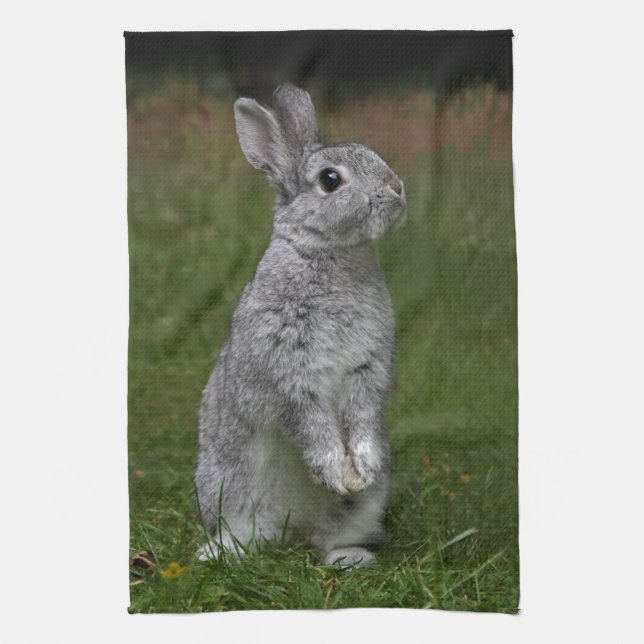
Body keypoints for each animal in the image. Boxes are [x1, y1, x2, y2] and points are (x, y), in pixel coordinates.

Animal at [195, 83, 406, 567]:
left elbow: (363, 417)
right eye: (330, 180)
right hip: (227, 485)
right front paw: (333, 470)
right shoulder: (289, 371)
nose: (397, 189)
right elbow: (310, 423)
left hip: (364, 509)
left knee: (332, 537)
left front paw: (360, 469)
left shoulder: (368, 370)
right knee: (246, 532)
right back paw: (218, 553)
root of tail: (294, 528)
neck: (330, 251)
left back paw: (349, 557)